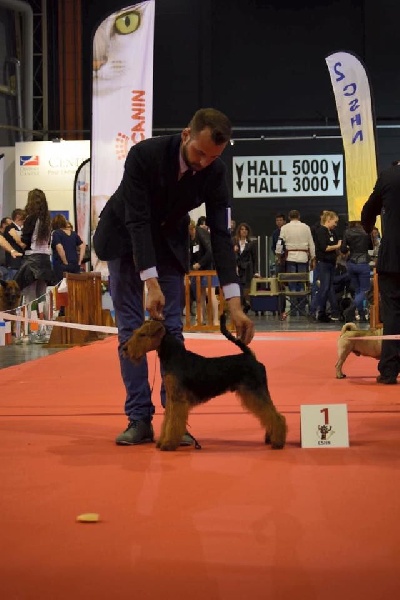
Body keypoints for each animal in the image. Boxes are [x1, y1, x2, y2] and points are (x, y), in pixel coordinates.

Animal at [122, 314, 287, 451]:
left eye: (142, 334)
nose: (125, 349)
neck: (174, 357)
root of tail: (250, 357)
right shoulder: (171, 399)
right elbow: (167, 421)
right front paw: (163, 441)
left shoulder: (178, 400)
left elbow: (173, 423)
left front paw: (168, 444)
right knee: (270, 414)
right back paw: (271, 438)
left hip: (255, 392)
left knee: (276, 416)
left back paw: (278, 442)